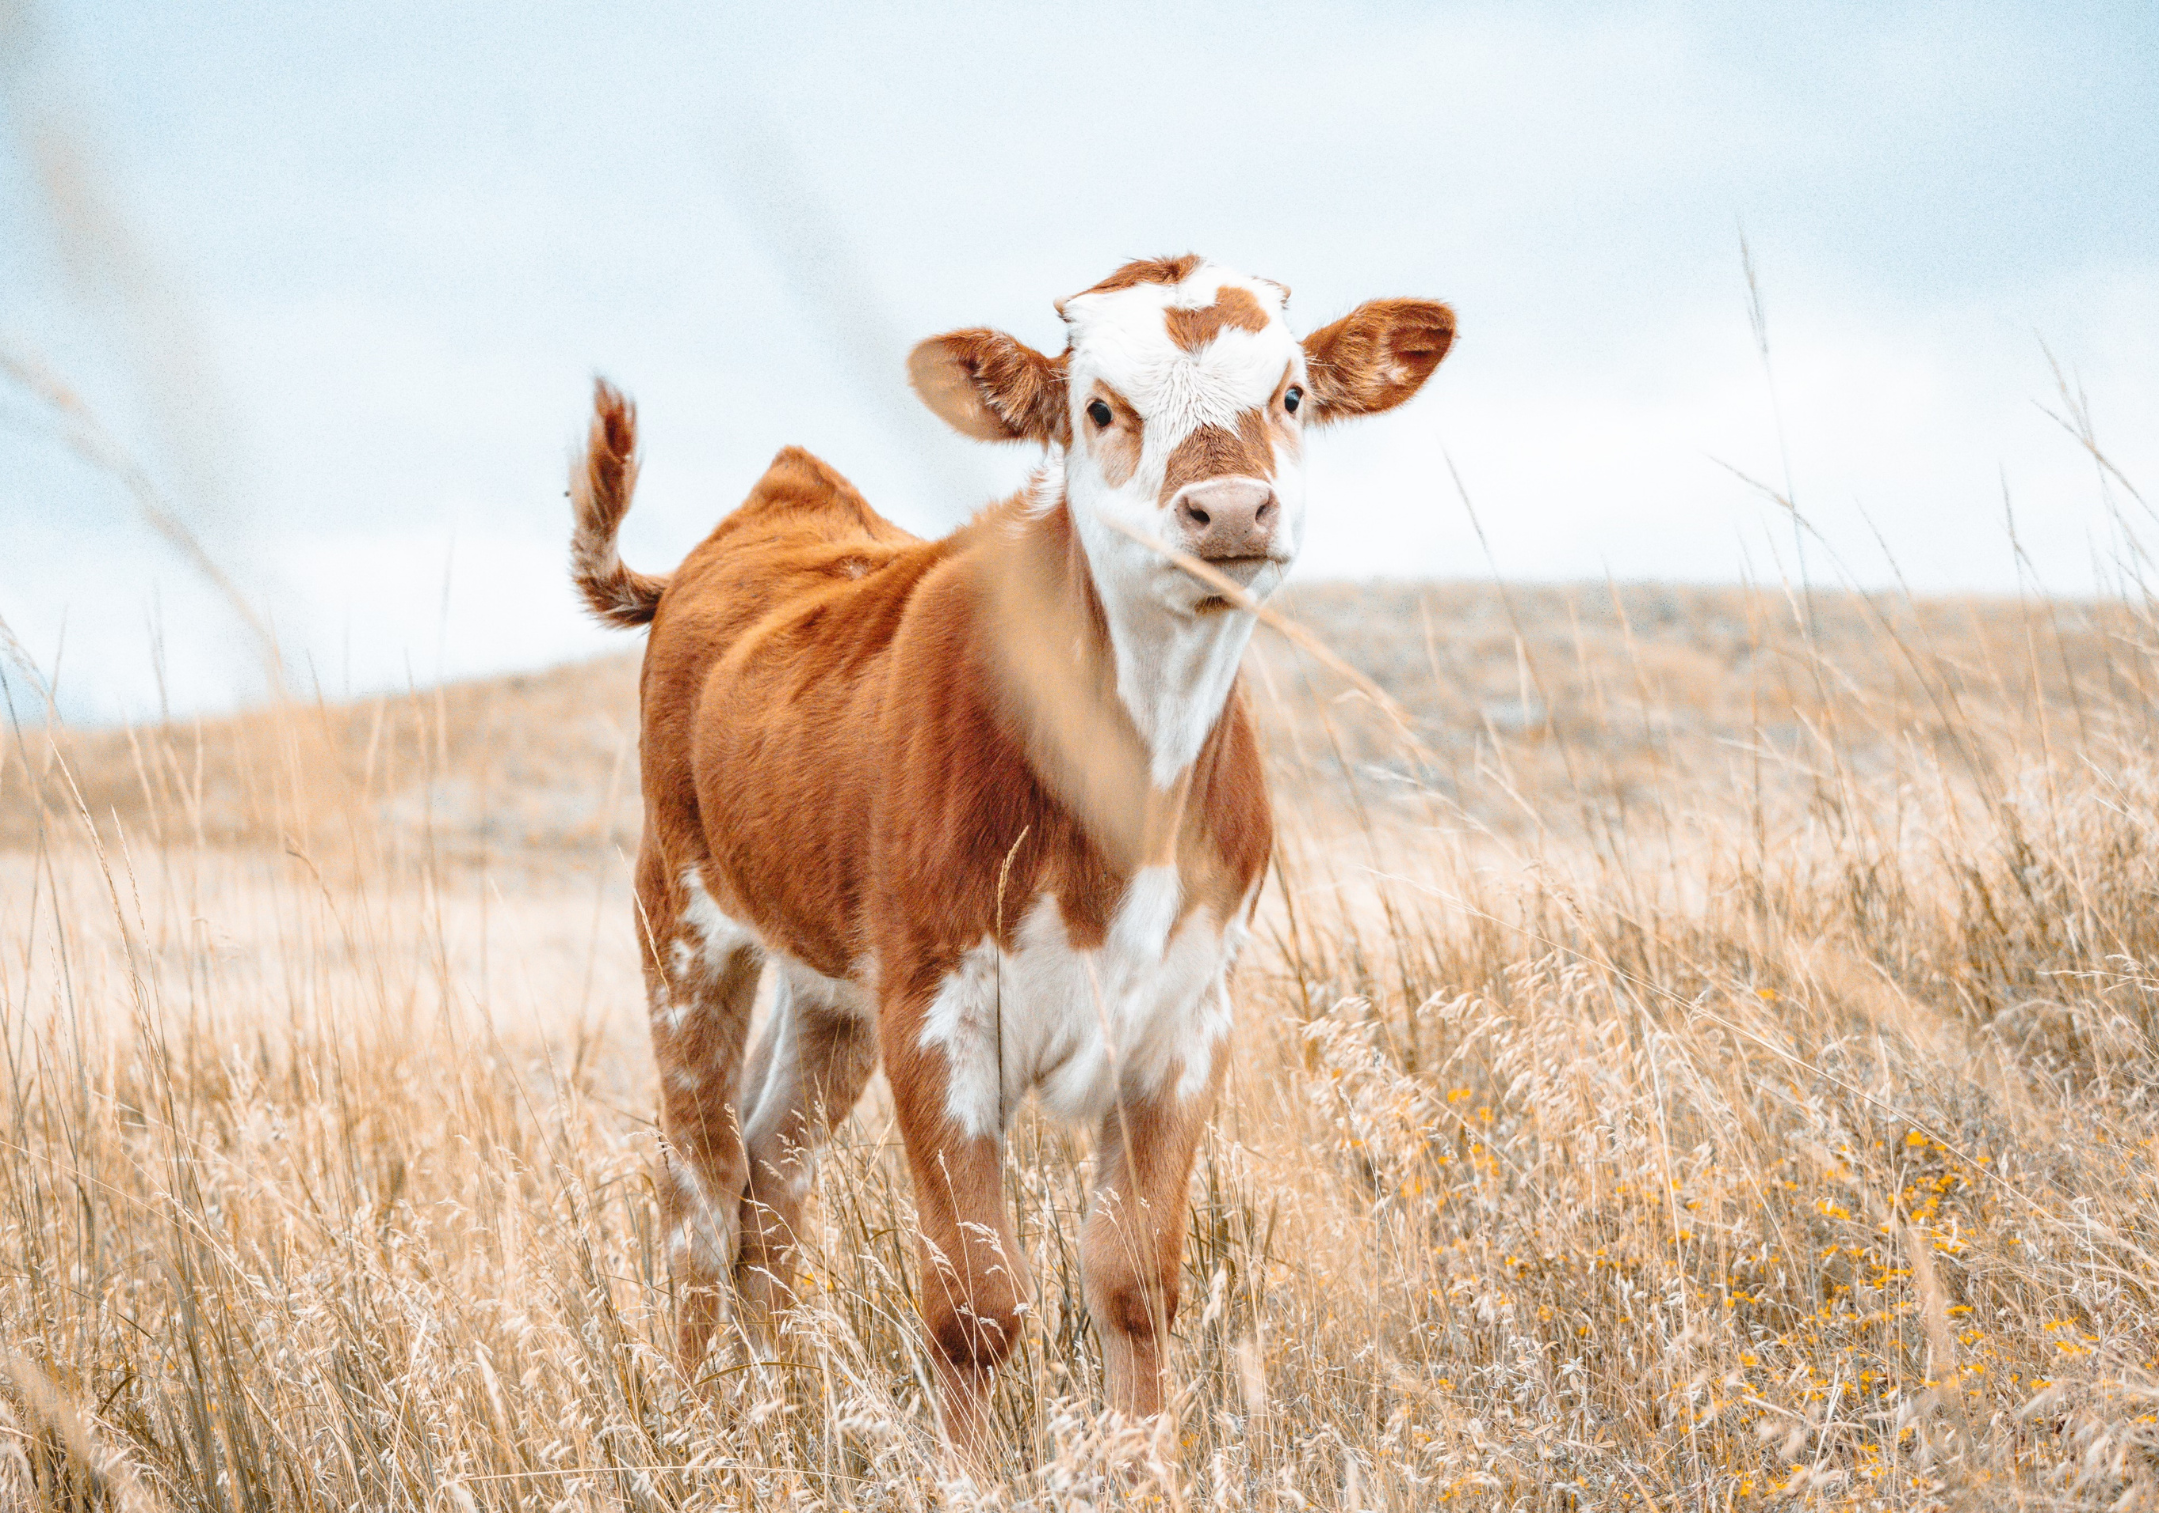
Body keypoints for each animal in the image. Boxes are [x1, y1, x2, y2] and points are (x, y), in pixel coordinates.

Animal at [567, 255, 1454, 1456]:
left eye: (1291, 394)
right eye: (1098, 409)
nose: (1227, 509)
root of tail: (769, 509)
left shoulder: (1185, 1018)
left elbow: (1133, 1281)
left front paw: (1148, 1466)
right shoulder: (937, 1014)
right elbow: (975, 1303)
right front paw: (970, 1473)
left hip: (834, 988)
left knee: (771, 1169)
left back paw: (773, 1409)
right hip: (682, 917)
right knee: (699, 1181)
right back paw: (700, 1423)